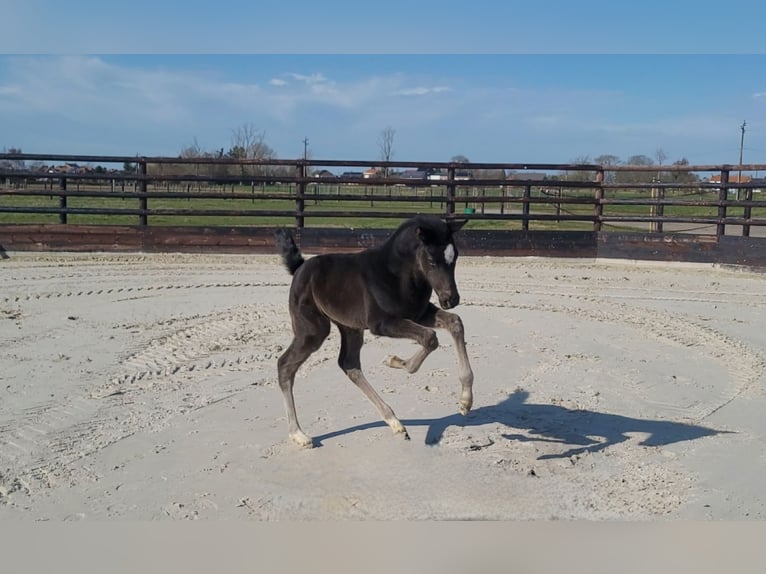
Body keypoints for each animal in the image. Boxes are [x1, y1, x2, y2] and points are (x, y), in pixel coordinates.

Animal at [274, 215, 474, 448]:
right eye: (432, 261)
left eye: (455, 258)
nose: (451, 299)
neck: (396, 274)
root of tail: (300, 267)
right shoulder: (381, 323)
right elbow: (429, 338)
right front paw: (396, 361)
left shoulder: (420, 313)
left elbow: (455, 323)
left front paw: (466, 401)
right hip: (312, 331)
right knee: (285, 365)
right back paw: (298, 434)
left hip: (350, 327)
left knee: (349, 363)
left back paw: (395, 422)